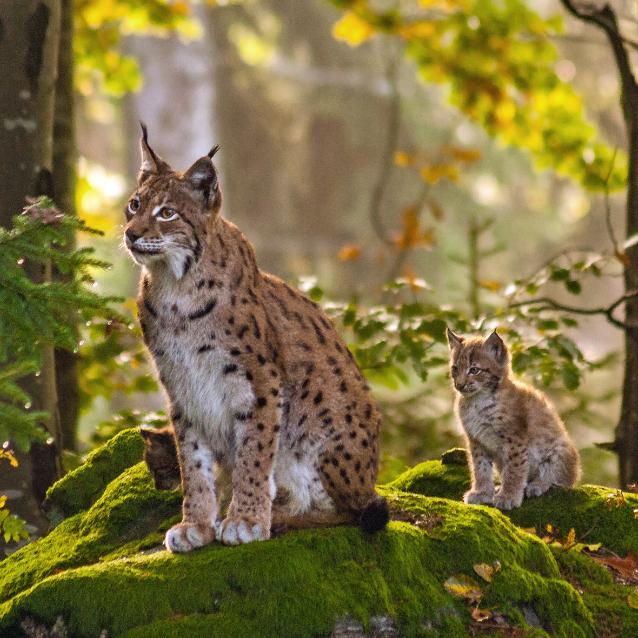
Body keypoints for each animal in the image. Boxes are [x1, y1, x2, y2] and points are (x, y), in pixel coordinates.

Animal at [448, 328, 584, 512]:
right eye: (455, 368)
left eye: (474, 370)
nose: (459, 385)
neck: (477, 400)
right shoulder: (476, 439)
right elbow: (480, 467)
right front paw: (482, 492)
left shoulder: (514, 437)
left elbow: (515, 468)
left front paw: (509, 496)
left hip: (561, 446)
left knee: (563, 481)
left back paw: (538, 484)